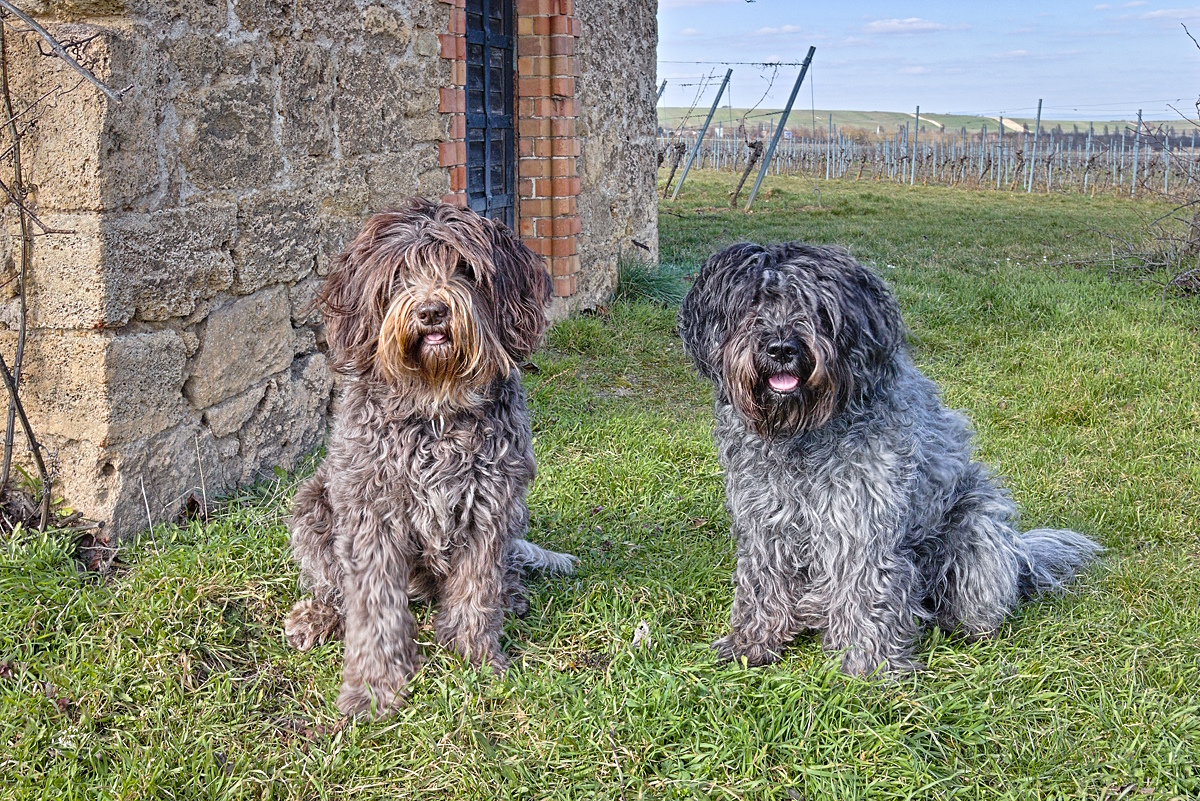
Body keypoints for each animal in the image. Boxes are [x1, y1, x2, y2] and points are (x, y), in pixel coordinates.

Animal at [285, 196, 576, 714]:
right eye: (400, 273)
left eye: (463, 268)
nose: (432, 311)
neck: (435, 408)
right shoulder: (371, 515)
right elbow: (374, 610)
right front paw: (373, 688)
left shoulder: (490, 508)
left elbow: (475, 593)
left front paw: (475, 657)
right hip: (313, 505)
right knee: (332, 586)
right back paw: (317, 616)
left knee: (505, 569)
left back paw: (512, 595)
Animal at [681, 242, 1099, 676]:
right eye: (753, 304)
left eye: (816, 308)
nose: (781, 348)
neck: (801, 432)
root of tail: (1022, 557)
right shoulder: (764, 519)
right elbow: (760, 584)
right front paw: (750, 643)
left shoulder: (861, 520)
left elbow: (866, 590)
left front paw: (868, 669)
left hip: (976, 529)